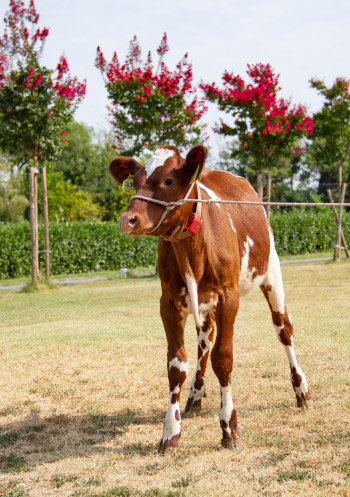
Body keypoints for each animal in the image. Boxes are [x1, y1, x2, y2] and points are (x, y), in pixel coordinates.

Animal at [110, 145, 312, 452]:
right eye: (134, 181)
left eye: (169, 180)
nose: (127, 220)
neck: (189, 247)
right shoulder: (168, 302)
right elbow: (176, 364)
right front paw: (171, 431)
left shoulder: (229, 296)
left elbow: (223, 358)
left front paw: (229, 427)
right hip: (205, 303)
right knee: (204, 341)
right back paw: (195, 393)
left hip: (271, 273)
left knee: (284, 329)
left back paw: (301, 390)